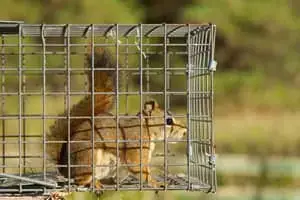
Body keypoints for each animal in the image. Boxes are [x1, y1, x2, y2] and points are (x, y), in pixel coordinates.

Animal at [45, 46, 186, 188]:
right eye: (168, 121)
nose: (185, 131)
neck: (146, 129)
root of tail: (64, 169)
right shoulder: (135, 146)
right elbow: (139, 169)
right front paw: (156, 183)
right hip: (88, 157)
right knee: (81, 179)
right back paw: (95, 183)